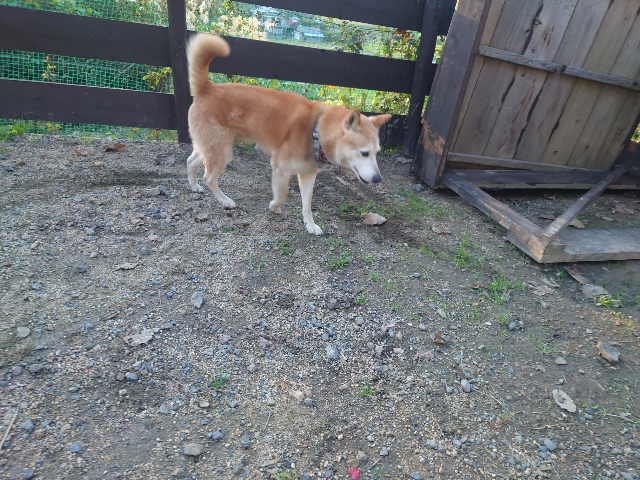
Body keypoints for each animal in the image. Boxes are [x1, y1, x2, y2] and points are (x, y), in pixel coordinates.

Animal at [186, 33, 391, 235]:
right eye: (364, 153)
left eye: (376, 153)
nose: (378, 179)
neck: (315, 130)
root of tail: (207, 88)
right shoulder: (280, 168)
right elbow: (282, 196)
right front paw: (274, 207)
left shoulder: (308, 175)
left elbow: (307, 205)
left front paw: (310, 225)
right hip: (222, 151)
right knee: (209, 177)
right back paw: (224, 200)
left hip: (212, 147)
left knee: (191, 161)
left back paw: (194, 186)